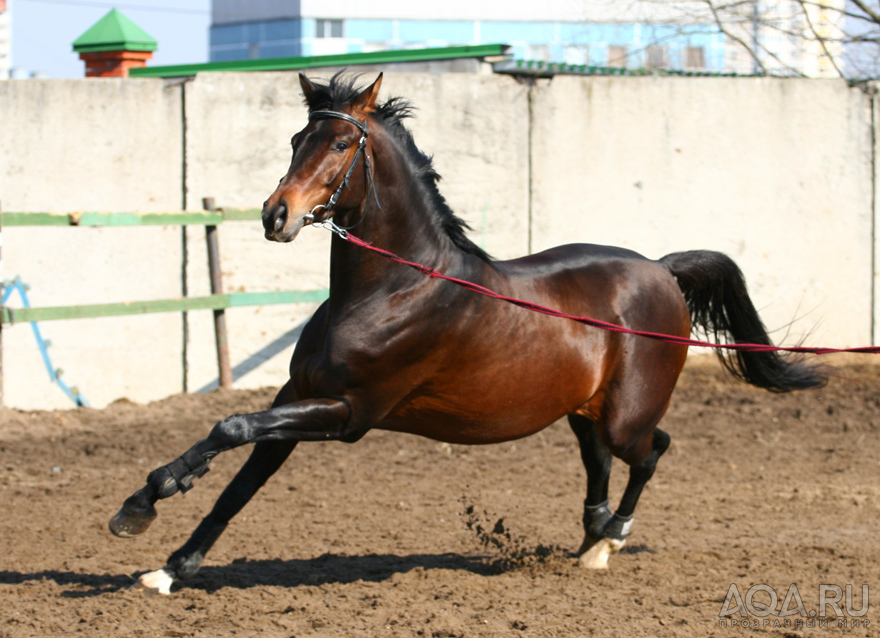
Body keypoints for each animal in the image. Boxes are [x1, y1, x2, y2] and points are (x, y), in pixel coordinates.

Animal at [108, 74, 824, 596]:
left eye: (339, 146)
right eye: (294, 139)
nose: (274, 216)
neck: (392, 289)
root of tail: (662, 269)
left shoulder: (349, 413)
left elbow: (229, 427)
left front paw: (144, 504)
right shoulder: (295, 400)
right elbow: (239, 481)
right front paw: (165, 562)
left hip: (627, 413)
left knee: (652, 450)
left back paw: (611, 540)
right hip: (581, 410)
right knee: (600, 461)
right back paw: (590, 540)